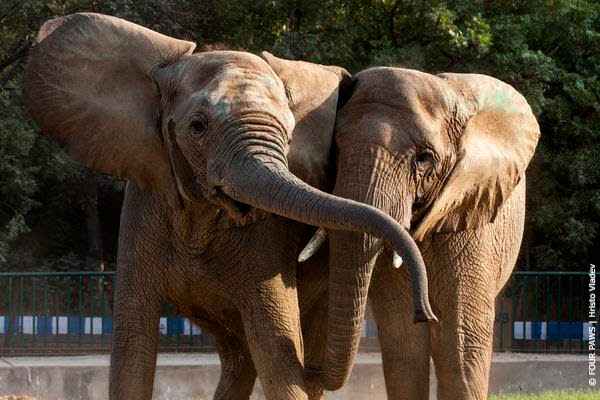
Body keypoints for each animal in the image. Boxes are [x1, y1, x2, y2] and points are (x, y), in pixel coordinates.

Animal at [24, 12, 436, 400]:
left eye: (289, 134)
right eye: (197, 127)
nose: (425, 314)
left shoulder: (268, 239)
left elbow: (277, 352)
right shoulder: (143, 207)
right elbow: (132, 348)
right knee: (239, 359)